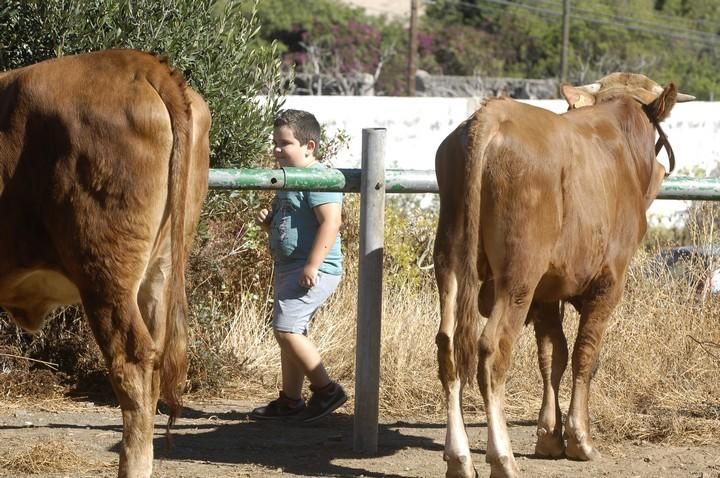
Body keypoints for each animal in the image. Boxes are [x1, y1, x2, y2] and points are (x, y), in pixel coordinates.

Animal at [434, 72, 692, 478]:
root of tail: (490, 118)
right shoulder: (608, 284)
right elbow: (586, 354)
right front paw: (579, 438)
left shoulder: (546, 293)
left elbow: (552, 356)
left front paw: (549, 437)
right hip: (518, 276)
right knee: (492, 351)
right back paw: (502, 457)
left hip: (450, 261)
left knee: (448, 347)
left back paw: (459, 458)